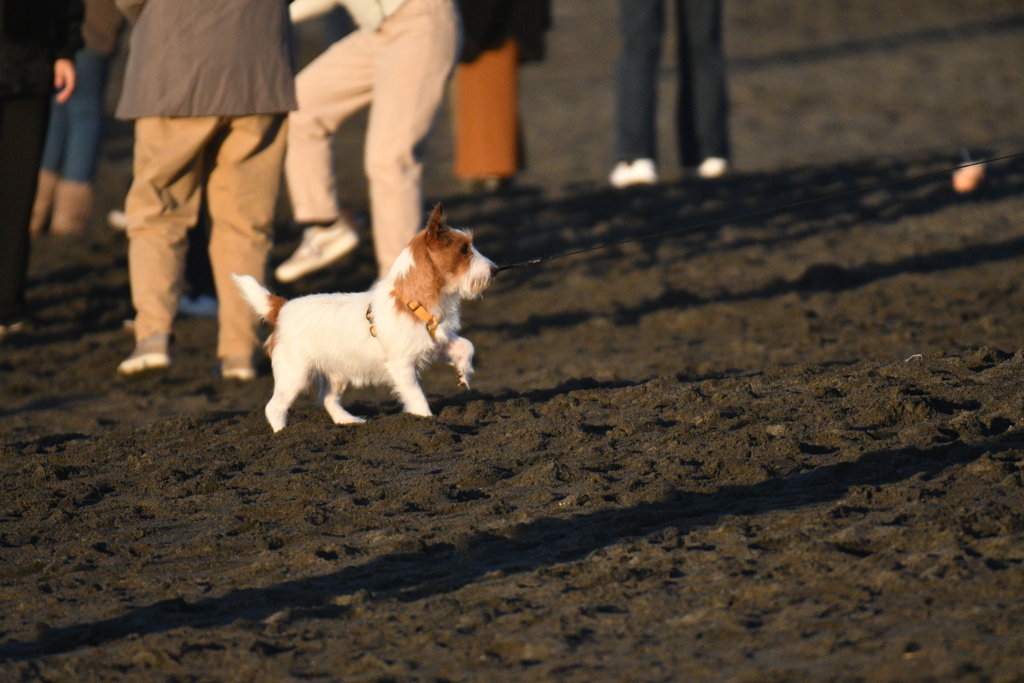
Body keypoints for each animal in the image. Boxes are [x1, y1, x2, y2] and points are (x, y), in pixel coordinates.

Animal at [233, 205, 495, 432]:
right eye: (464, 250)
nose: (495, 269)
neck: (410, 300)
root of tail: (282, 308)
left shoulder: (438, 339)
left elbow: (466, 345)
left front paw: (463, 372)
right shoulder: (402, 366)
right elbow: (417, 397)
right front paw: (426, 422)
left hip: (335, 373)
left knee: (326, 399)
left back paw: (348, 421)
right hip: (295, 374)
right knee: (274, 407)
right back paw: (283, 434)